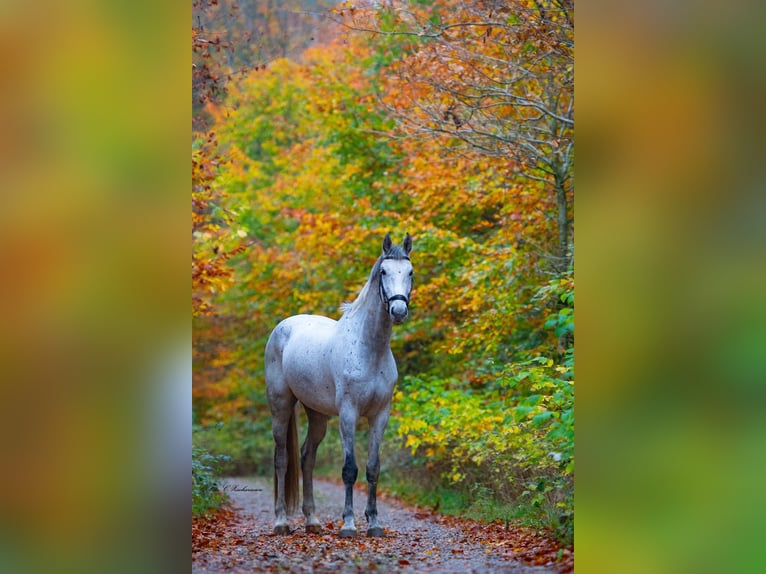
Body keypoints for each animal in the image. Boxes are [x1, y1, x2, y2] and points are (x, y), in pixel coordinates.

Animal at [268, 232, 416, 536]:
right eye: (383, 272)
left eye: (410, 272)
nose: (398, 310)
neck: (369, 348)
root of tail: (283, 326)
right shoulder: (348, 414)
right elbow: (350, 469)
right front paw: (348, 524)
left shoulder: (380, 415)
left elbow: (373, 468)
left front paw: (374, 523)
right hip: (281, 405)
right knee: (282, 459)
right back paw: (282, 522)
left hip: (317, 415)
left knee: (307, 458)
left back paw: (312, 521)